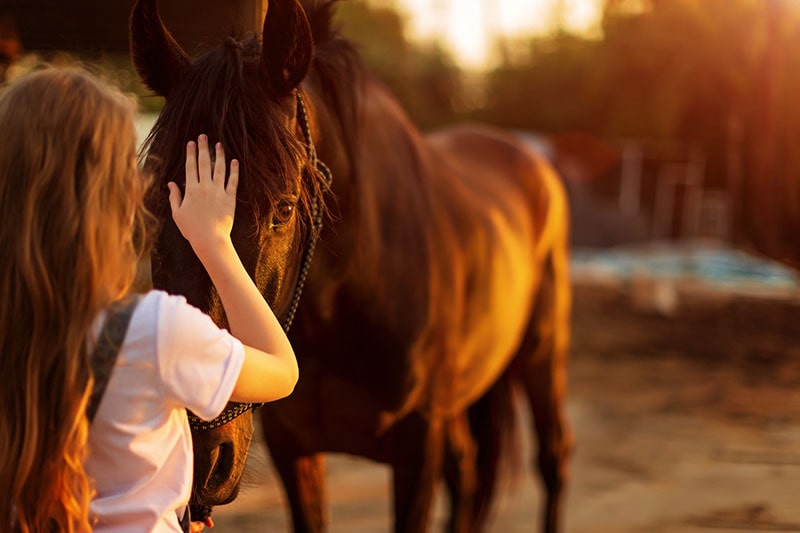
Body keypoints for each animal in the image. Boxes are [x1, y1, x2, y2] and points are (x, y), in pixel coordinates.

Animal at [131, 2, 572, 528]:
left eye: (284, 209)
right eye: (152, 206)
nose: (197, 458)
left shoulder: (417, 446)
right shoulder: (293, 447)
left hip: (543, 354)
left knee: (552, 458)